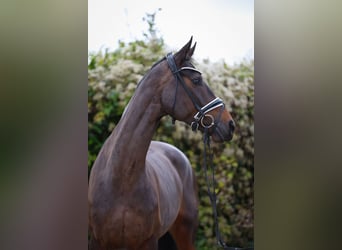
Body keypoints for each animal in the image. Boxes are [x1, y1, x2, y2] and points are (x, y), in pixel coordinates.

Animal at [88, 37, 235, 250]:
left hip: (184, 233)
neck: (120, 178)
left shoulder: (148, 242)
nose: (230, 124)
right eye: (196, 80)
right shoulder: (97, 241)